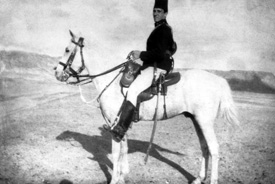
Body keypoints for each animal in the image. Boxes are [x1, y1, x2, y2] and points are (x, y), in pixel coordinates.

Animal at [54, 30, 239, 183]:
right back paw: (198, 178)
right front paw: (123, 176)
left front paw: (115, 179)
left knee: (214, 149)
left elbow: (116, 152)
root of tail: (218, 80)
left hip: (204, 121)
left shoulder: (114, 123)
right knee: (204, 147)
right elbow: (124, 148)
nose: (57, 72)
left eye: (67, 50)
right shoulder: (121, 124)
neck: (112, 80)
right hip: (196, 120)